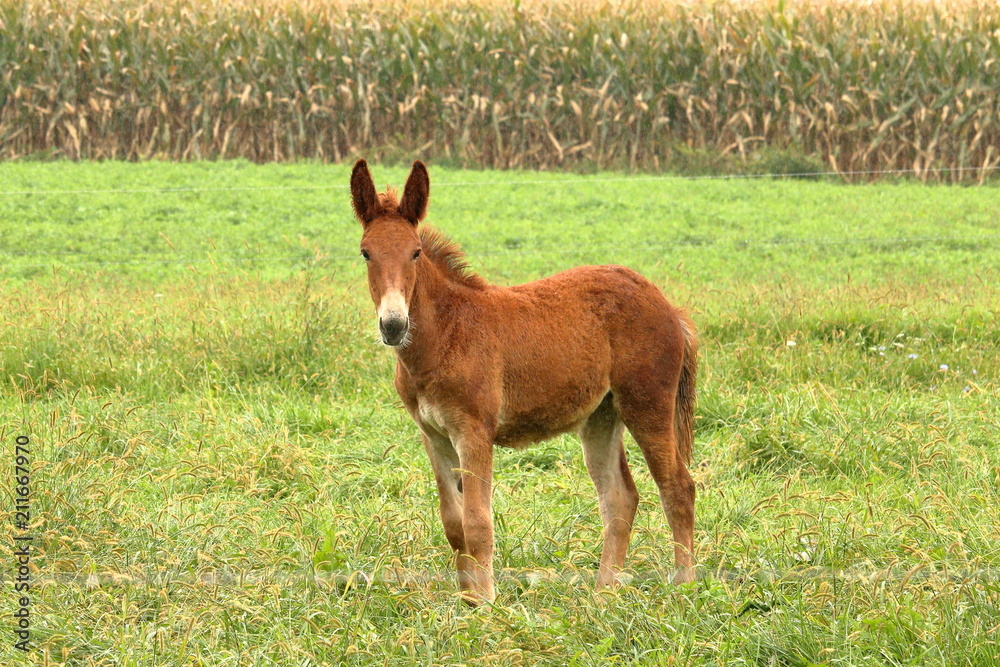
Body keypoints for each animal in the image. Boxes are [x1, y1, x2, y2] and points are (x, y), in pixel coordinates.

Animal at [351, 159, 698, 605]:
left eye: (415, 252)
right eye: (365, 253)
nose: (393, 326)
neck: (446, 334)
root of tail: (666, 303)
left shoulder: (473, 432)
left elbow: (477, 522)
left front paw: (485, 603)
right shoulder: (434, 436)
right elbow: (453, 524)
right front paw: (465, 600)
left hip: (647, 404)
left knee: (678, 487)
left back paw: (685, 587)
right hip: (601, 417)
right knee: (620, 498)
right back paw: (603, 594)